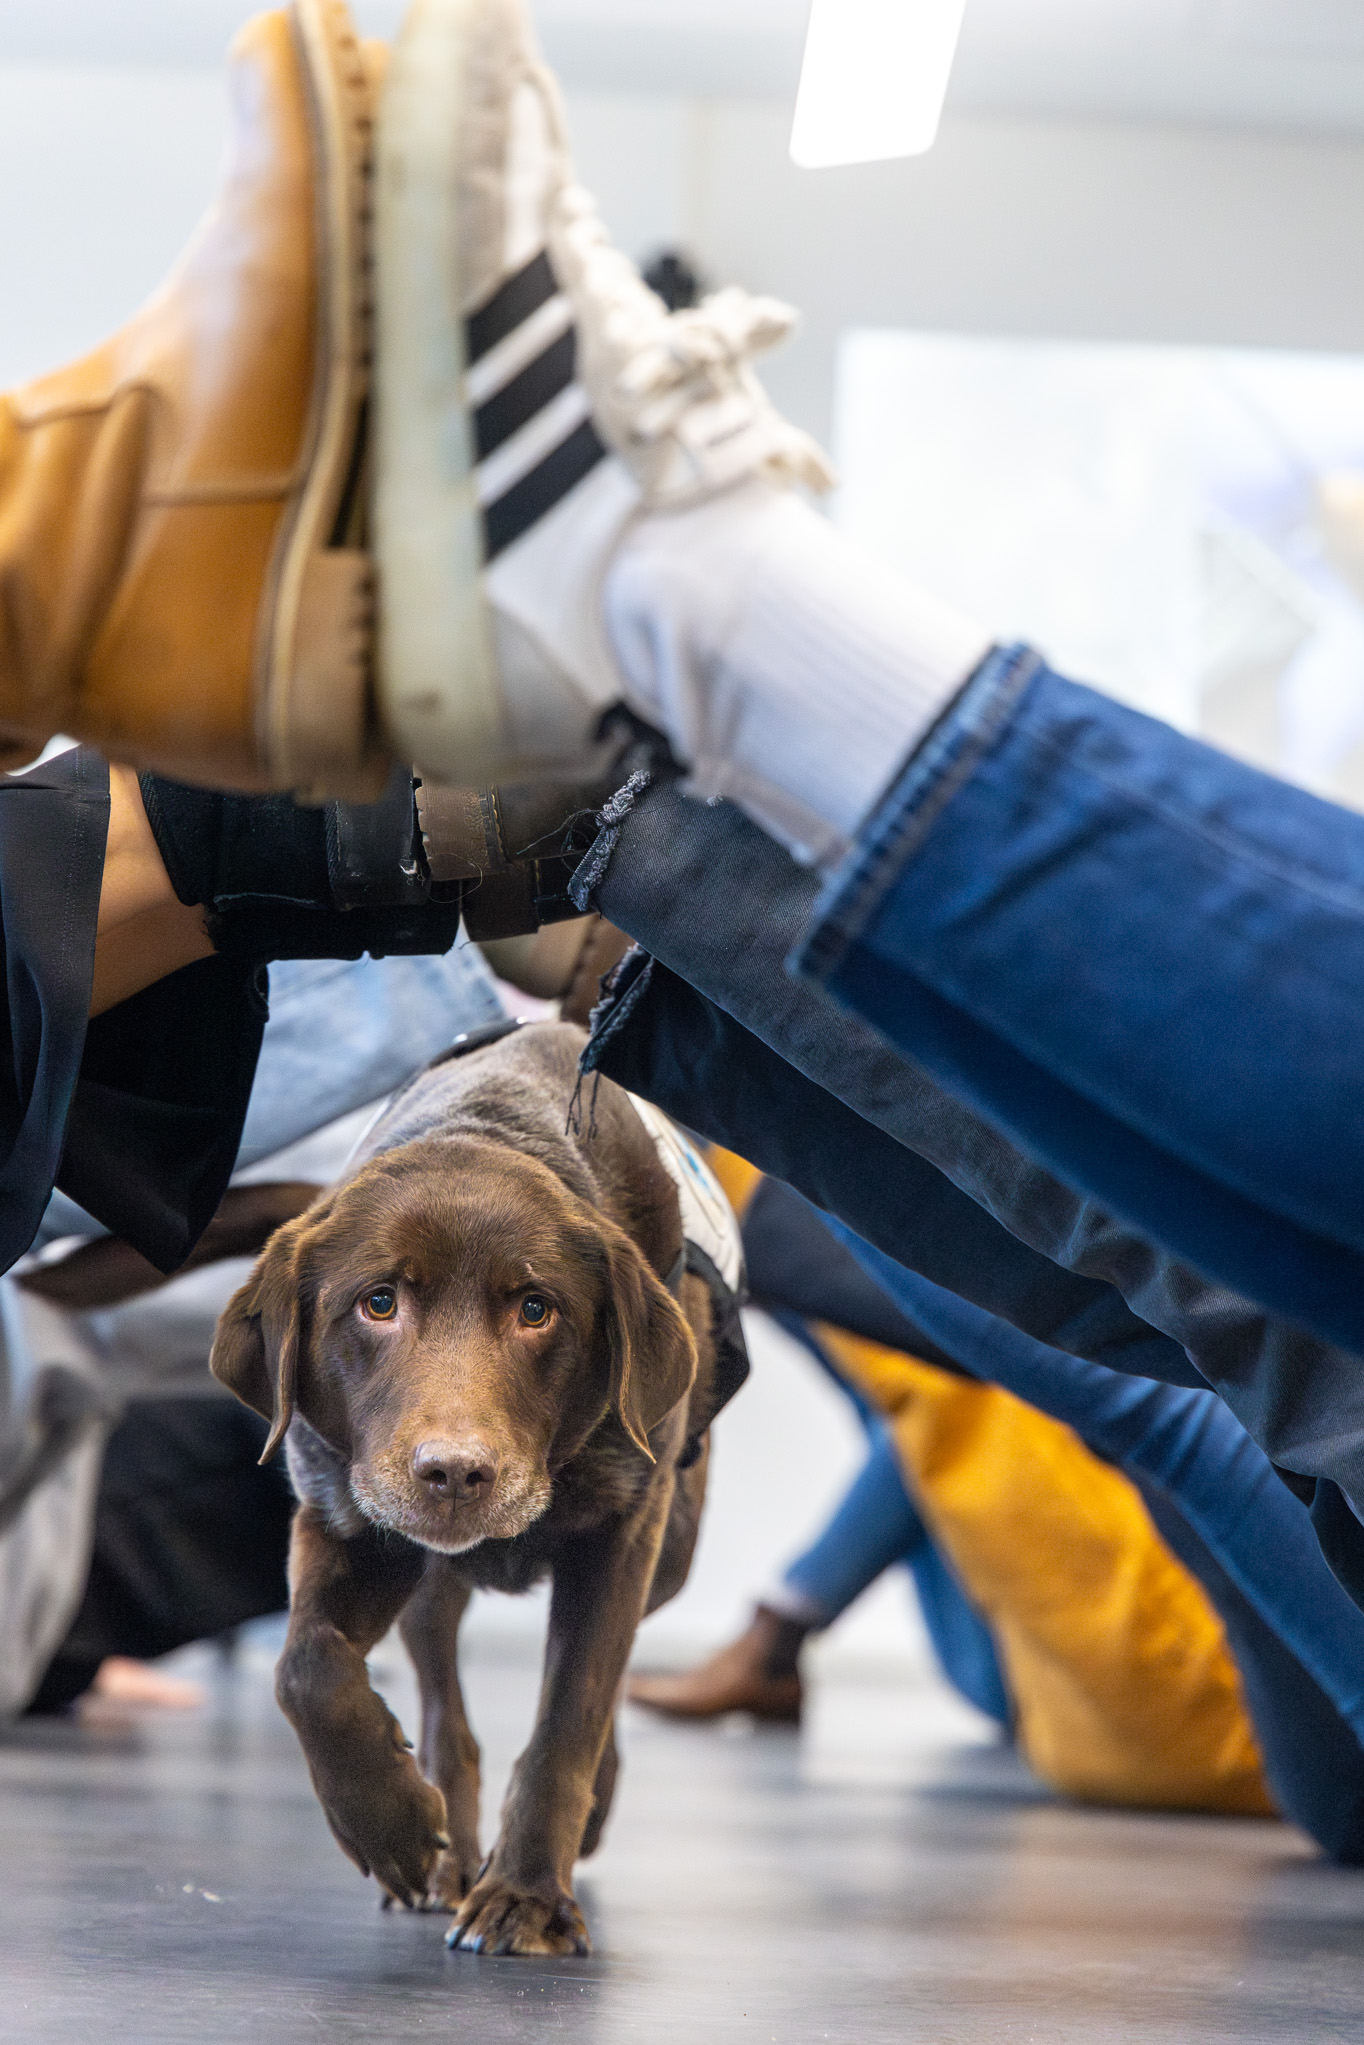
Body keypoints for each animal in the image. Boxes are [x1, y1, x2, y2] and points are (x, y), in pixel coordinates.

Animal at [211, 1019, 746, 1957]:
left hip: (673, 1546)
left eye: (536, 1308)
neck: (492, 1121)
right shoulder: (347, 1514)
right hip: (427, 1572)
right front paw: (388, 1825)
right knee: (442, 1708)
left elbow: (570, 1718)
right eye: (377, 1302)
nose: (455, 1472)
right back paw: (448, 1851)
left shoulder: (624, 1530)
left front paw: (528, 1894)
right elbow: (305, 1664)